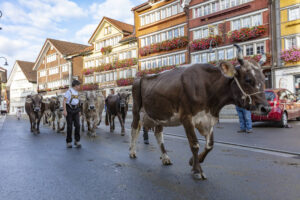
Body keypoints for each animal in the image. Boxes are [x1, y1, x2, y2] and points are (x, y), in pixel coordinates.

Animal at [129, 44, 270, 180]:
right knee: (134, 129)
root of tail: (141, 77)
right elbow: (194, 144)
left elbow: (210, 145)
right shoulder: (187, 118)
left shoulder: (210, 118)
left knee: (158, 134)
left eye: (264, 79)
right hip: (136, 109)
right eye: (248, 79)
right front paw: (197, 170)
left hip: (158, 114)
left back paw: (165, 158)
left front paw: (193, 161)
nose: (266, 108)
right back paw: (132, 152)